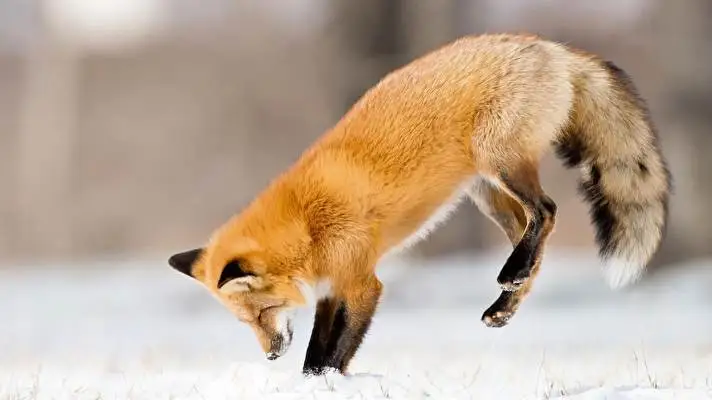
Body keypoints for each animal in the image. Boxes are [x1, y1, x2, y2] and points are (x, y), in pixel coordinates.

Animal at [168, 33, 671, 375]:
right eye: (245, 322)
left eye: (260, 314)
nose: (271, 355)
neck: (307, 224)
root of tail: (546, 45)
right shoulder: (333, 289)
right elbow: (316, 352)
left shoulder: (361, 284)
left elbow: (327, 357)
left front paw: (325, 382)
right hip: (487, 192)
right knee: (533, 232)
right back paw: (506, 303)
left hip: (499, 160)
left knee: (546, 210)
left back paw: (512, 272)